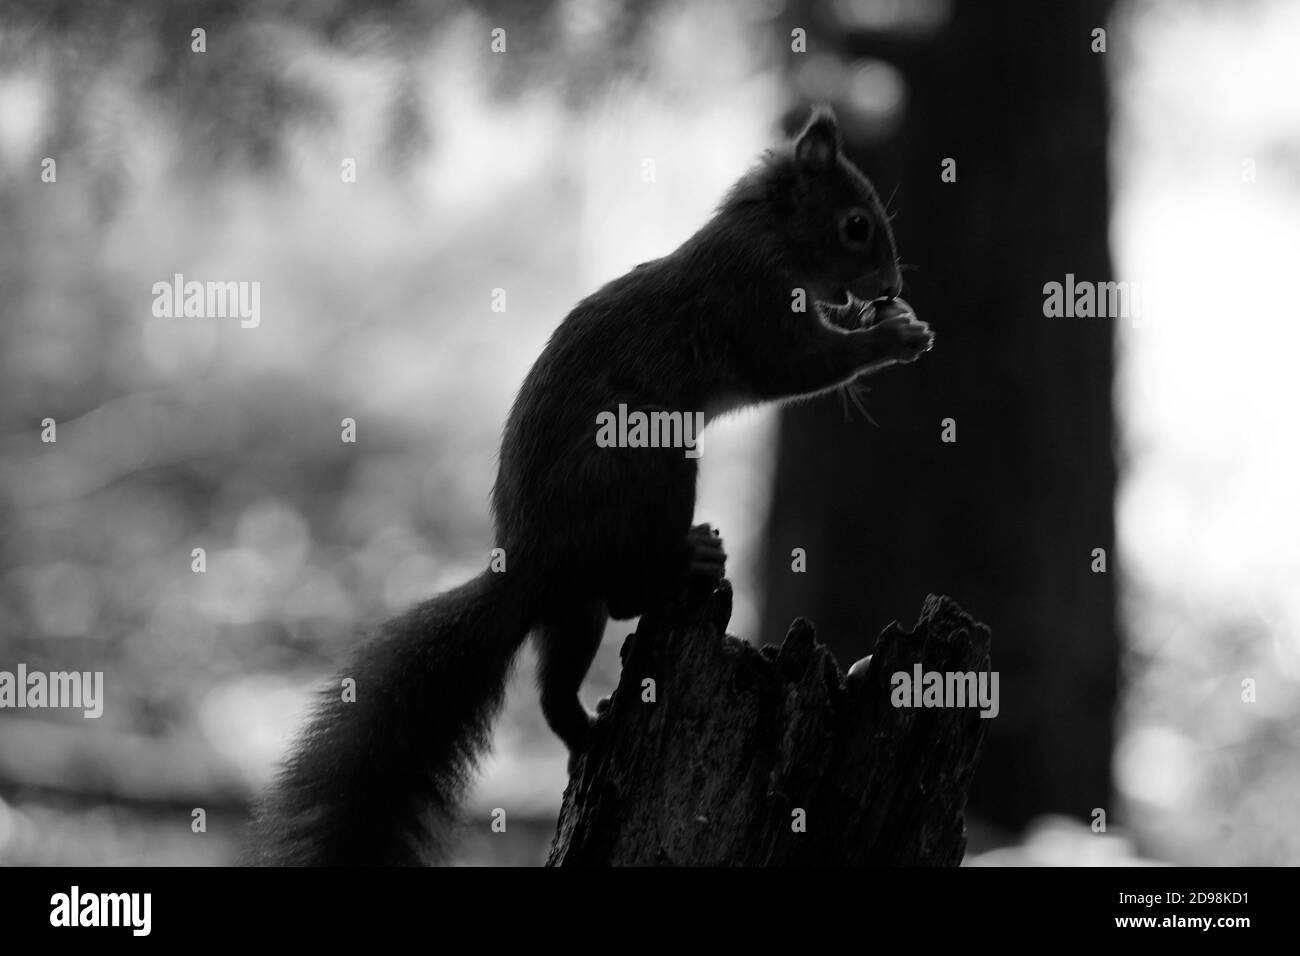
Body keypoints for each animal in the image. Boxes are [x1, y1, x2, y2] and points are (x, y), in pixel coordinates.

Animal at [243, 106, 934, 866]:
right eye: (856, 225)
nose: (890, 286)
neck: (766, 235)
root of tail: (531, 563)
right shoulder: (751, 306)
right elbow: (800, 365)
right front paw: (893, 339)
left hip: (571, 611)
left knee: (559, 679)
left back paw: (584, 726)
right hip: (654, 467)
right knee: (629, 592)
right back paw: (687, 559)